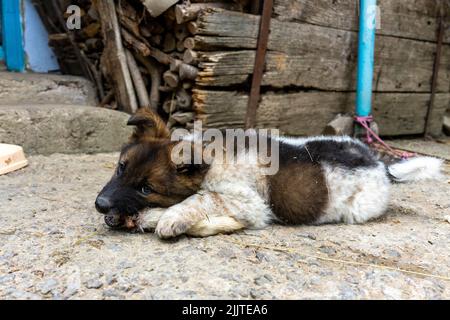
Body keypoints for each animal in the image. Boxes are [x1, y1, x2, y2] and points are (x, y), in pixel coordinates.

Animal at [95, 109, 442, 238]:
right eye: (121, 167)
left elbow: (201, 198)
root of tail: (377, 163)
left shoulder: (249, 202)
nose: (100, 205)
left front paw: (166, 218)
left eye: (146, 189)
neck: (211, 161)